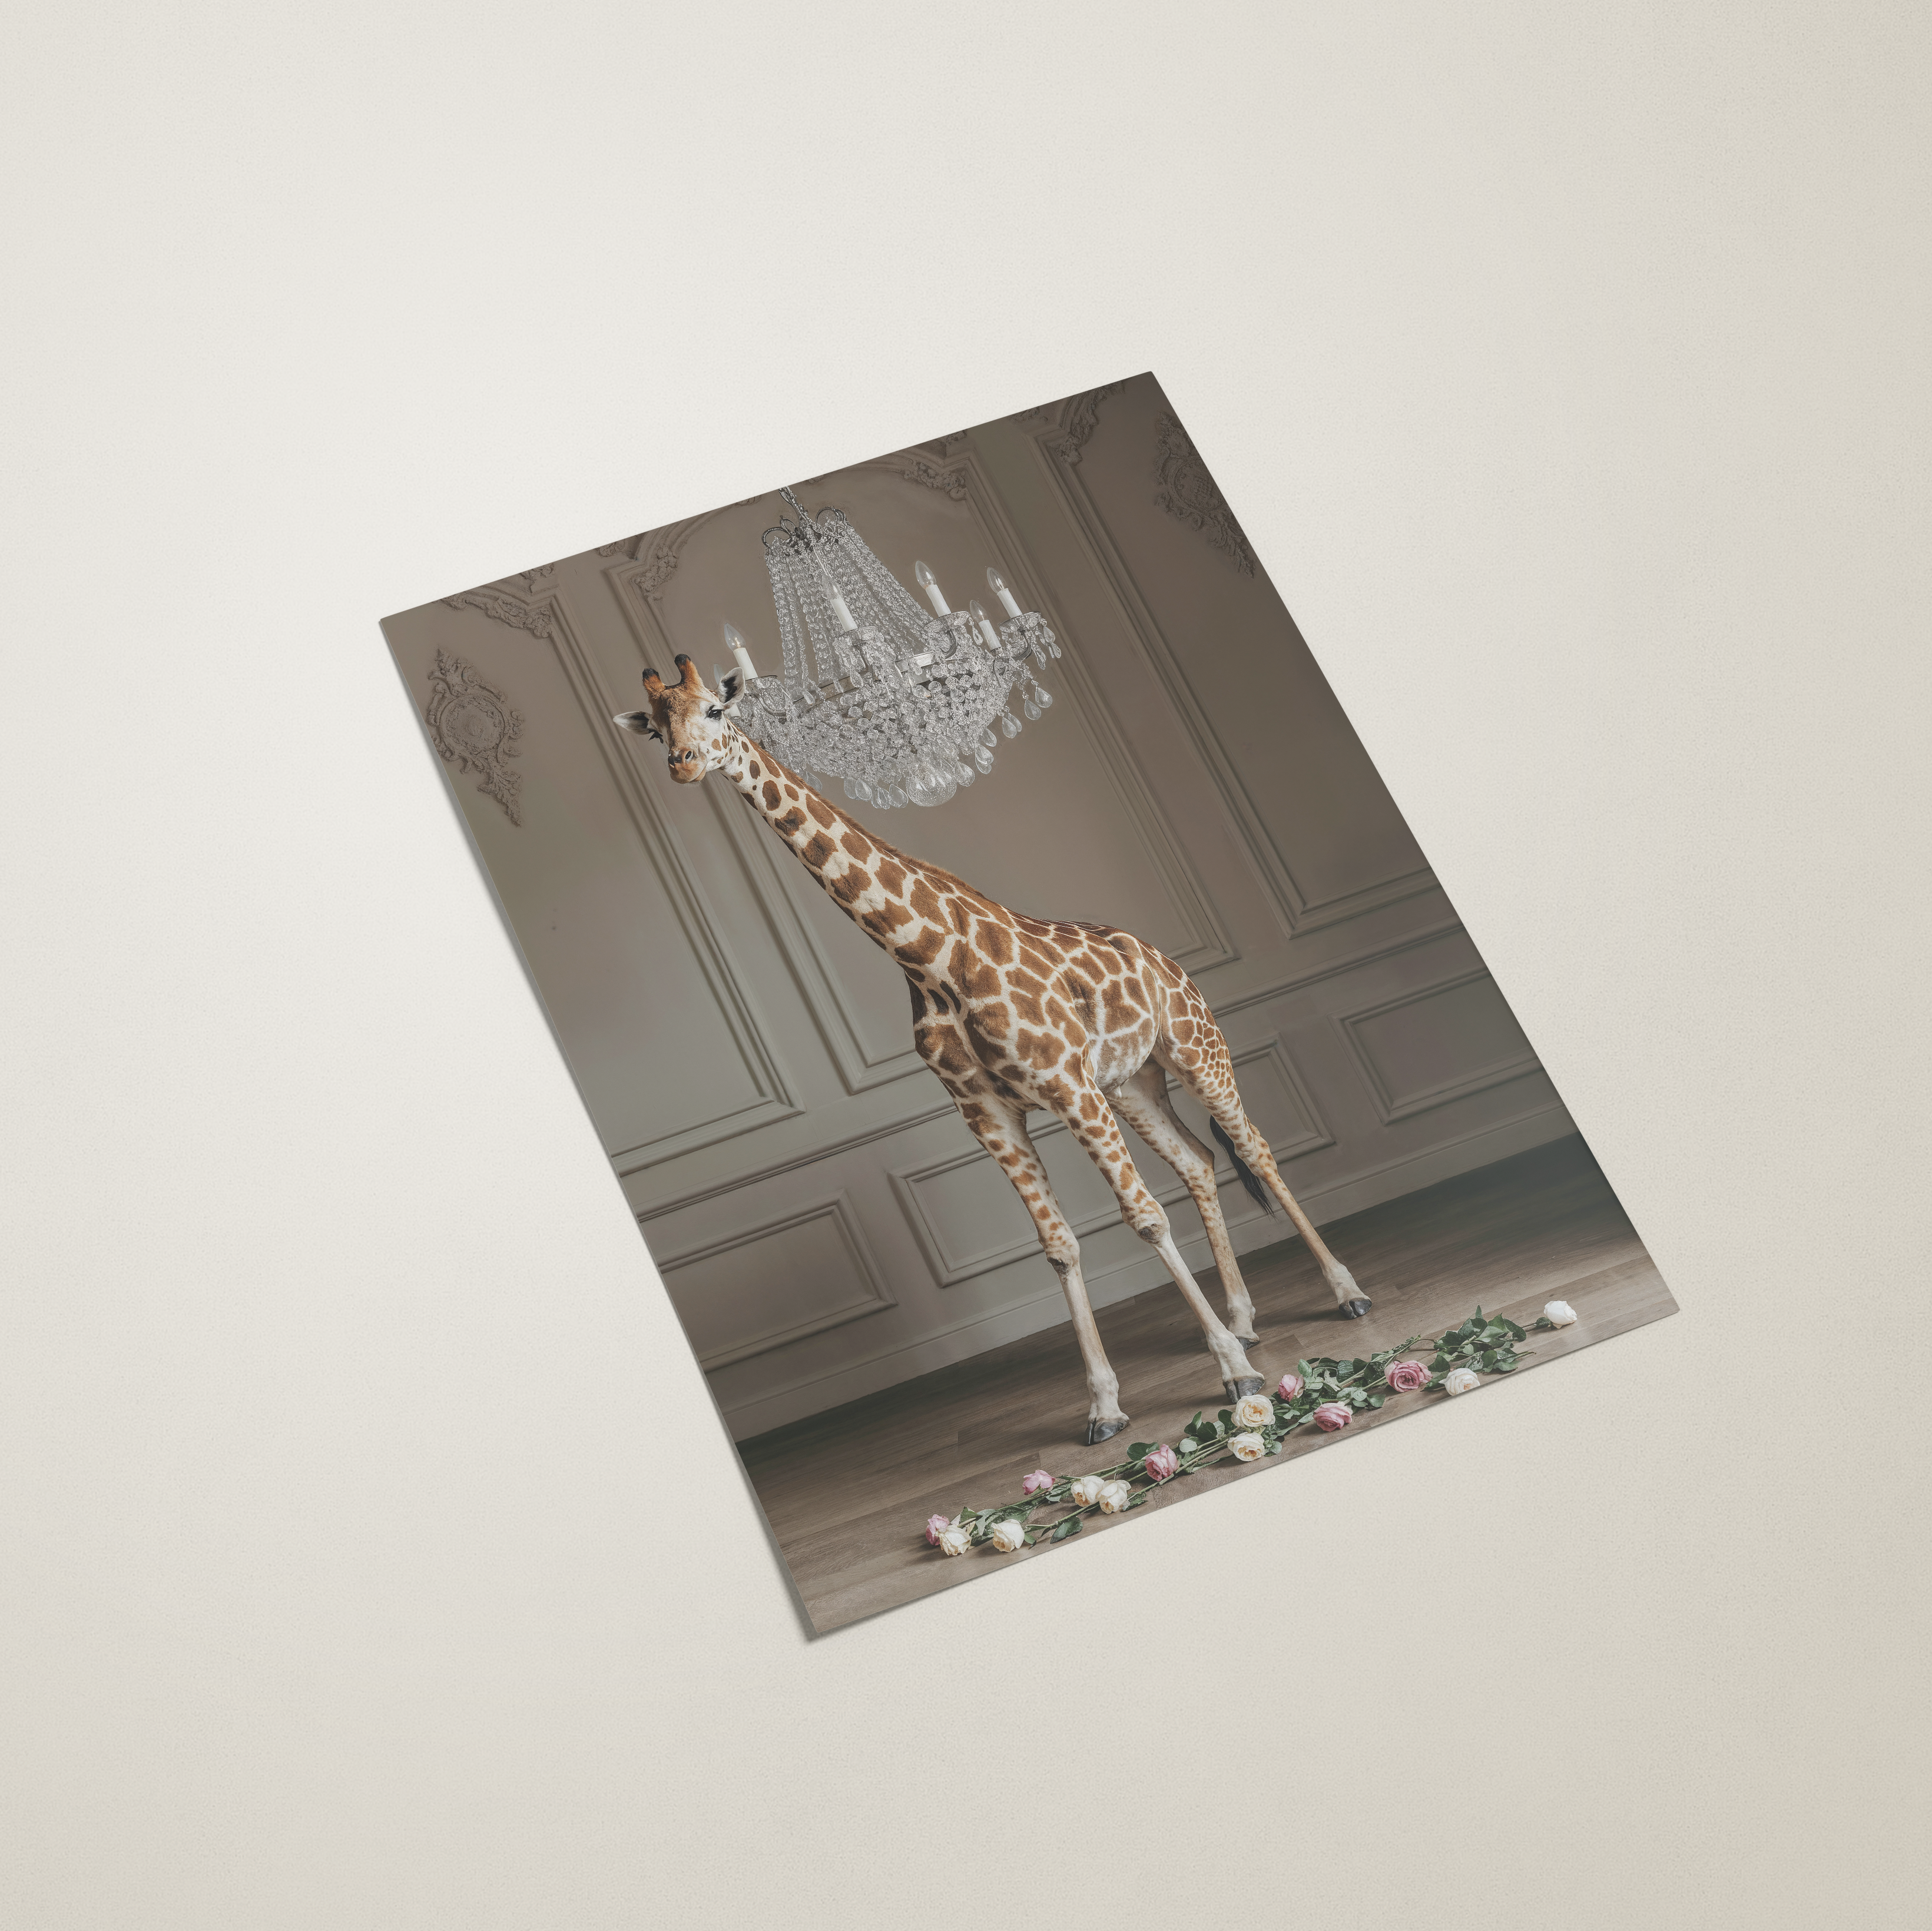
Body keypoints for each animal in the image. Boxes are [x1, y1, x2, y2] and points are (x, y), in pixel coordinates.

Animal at [615, 656, 1370, 1445]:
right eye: (656, 729)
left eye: (714, 711)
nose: (683, 764)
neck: (926, 958)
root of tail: (1166, 959)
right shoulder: (989, 1115)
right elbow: (1059, 1245)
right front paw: (1104, 1406)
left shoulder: (1066, 1086)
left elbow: (1142, 1217)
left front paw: (1230, 1371)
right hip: (1132, 1083)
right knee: (1196, 1161)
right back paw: (1244, 1319)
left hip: (1194, 1051)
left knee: (1252, 1147)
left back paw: (1343, 1293)